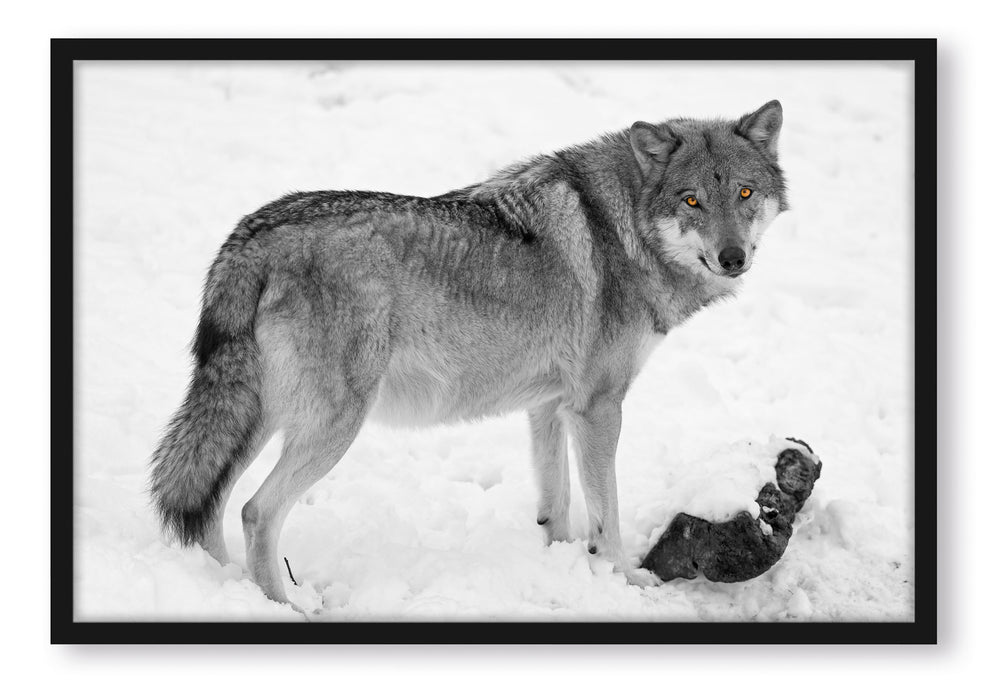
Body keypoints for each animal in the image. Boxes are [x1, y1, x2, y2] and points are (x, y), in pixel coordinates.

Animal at [150, 100, 787, 606]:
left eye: (744, 193)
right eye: (692, 201)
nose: (733, 257)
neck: (622, 225)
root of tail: (250, 235)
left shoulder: (549, 406)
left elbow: (557, 505)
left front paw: (563, 570)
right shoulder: (598, 409)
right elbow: (606, 517)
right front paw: (623, 585)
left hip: (260, 417)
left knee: (211, 506)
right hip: (331, 424)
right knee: (256, 511)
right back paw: (290, 607)